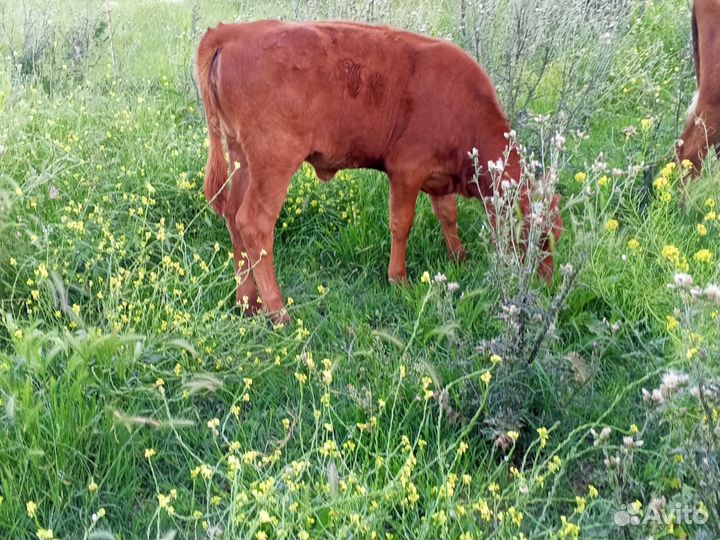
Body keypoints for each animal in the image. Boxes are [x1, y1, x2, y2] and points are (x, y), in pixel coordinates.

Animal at [197, 20, 563, 324]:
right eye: (539, 234)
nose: (545, 286)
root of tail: (235, 31)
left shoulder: (439, 178)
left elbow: (448, 215)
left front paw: (460, 257)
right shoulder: (406, 170)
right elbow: (402, 223)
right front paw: (398, 278)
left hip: (242, 157)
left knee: (233, 216)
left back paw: (248, 303)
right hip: (274, 161)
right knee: (254, 223)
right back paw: (278, 312)